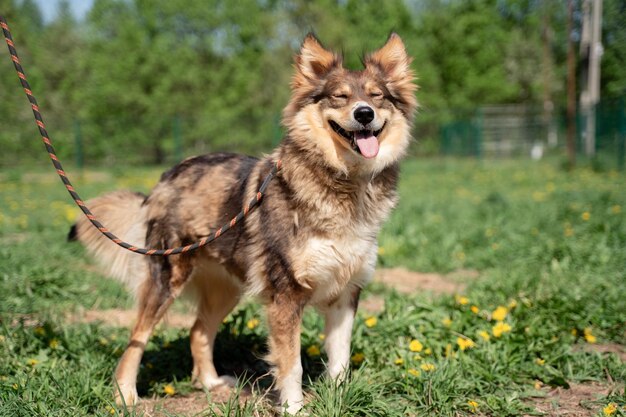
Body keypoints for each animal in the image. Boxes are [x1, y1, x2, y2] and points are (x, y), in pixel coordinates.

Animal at [69, 33, 414, 412]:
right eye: (340, 96)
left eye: (377, 96)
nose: (364, 113)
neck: (344, 182)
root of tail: (165, 177)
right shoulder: (285, 294)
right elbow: (290, 363)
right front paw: (293, 408)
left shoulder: (347, 291)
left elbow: (340, 360)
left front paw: (339, 402)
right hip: (168, 277)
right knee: (137, 337)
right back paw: (126, 395)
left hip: (227, 287)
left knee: (198, 330)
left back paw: (210, 383)